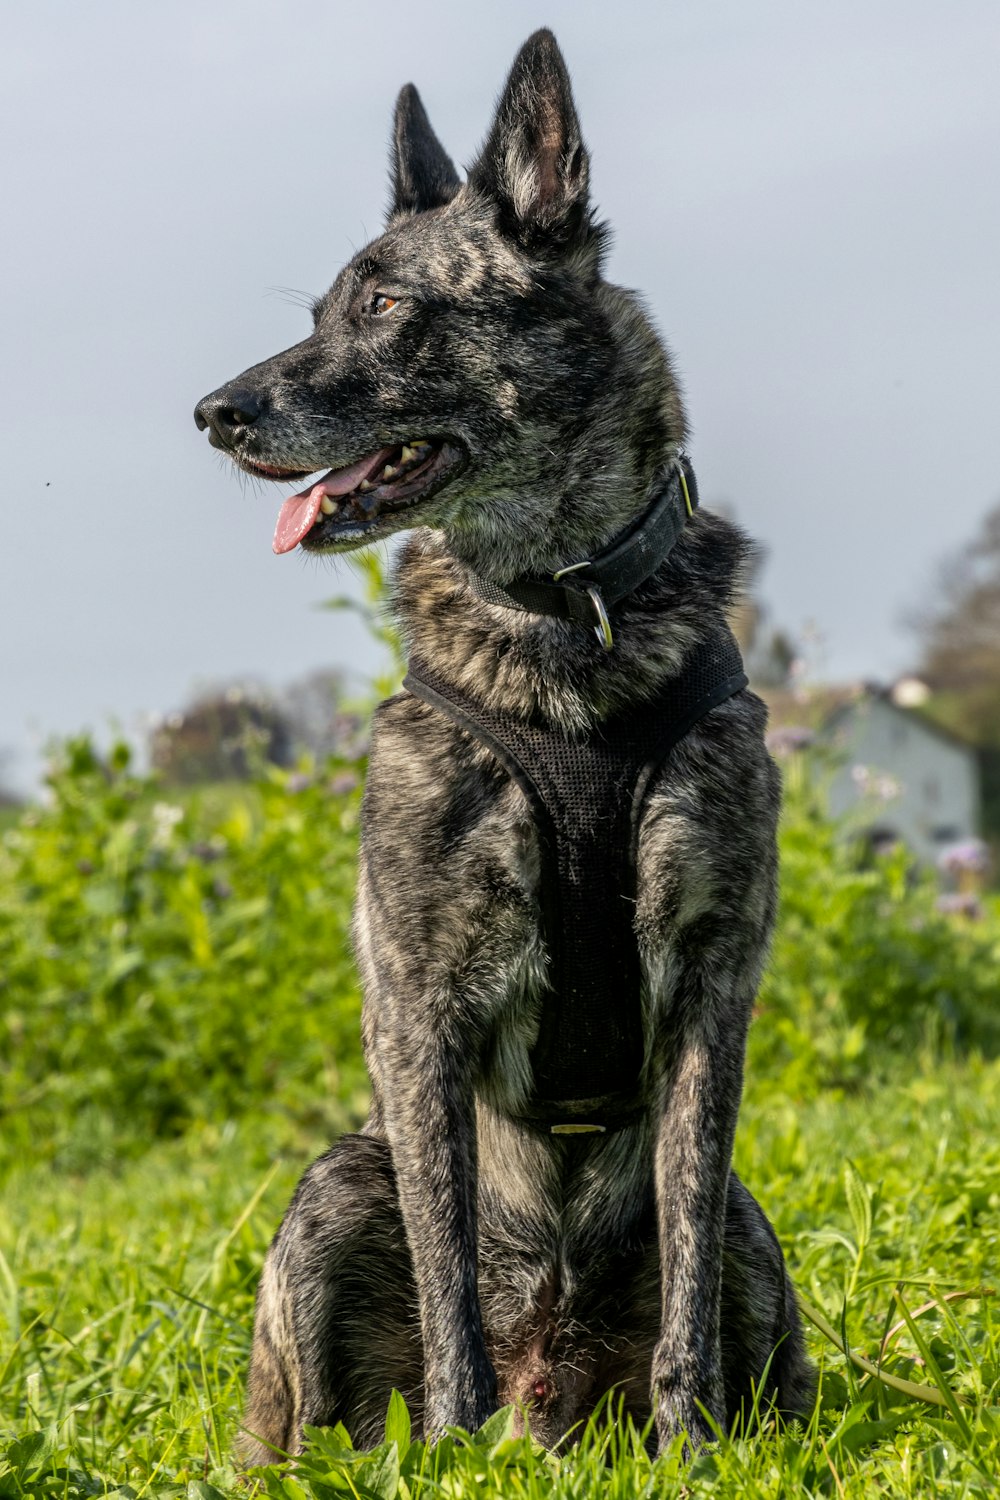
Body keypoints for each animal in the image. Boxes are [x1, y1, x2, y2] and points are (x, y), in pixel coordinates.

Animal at [193, 26, 815, 1464]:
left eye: (384, 306)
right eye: (322, 310)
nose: (214, 411)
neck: (558, 617)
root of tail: (557, 1386)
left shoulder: (711, 992)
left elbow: (687, 1274)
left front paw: (689, 1449)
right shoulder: (420, 1005)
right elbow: (447, 1270)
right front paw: (453, 1451)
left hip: (759, 1238)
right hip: (331, 1191)